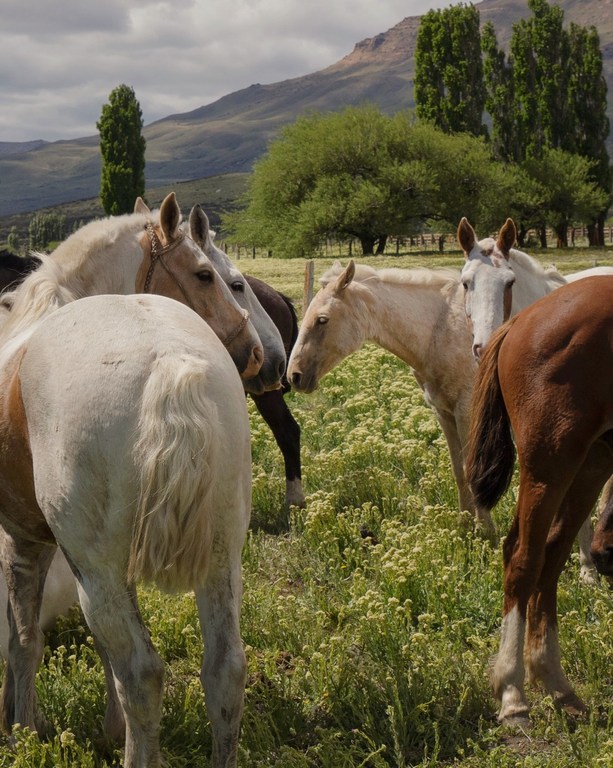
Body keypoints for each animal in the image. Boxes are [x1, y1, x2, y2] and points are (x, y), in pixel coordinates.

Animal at [0, 193, 266, 765]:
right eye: (206, 274)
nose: (258, 353)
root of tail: (169, 362)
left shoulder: (24, 540)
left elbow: (23, 639)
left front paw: (21, 730)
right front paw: (103, 727)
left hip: (98, 573)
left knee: (142, 674)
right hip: (220, 559)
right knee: (225, 671)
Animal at [286, 259, 497, 540]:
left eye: (322, 319)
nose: (294, 375)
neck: (444, 328)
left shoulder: (467, 411)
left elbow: (473, 471)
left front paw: (485, 533)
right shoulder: (445, 412)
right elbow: (459, 471)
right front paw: (465, 528)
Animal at [465, 276, 613, 727]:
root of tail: (520, 322)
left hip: (592, 461)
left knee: (552, 554)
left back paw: (556, 684)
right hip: (551, 462)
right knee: (523, 557)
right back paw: (513, 692)